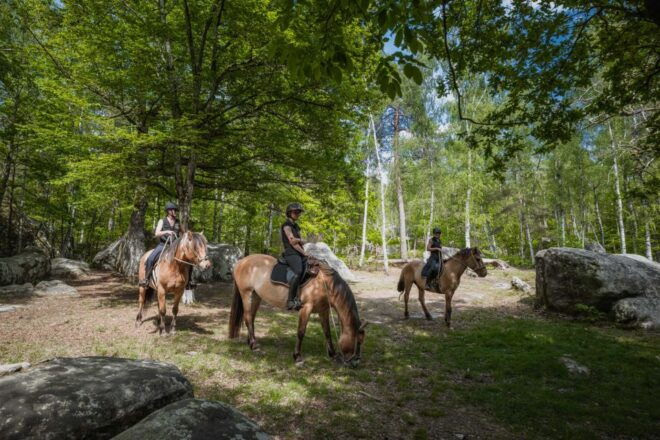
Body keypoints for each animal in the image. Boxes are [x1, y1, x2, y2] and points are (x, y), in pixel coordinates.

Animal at [228, 254, 367, 367]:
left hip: (256, 295)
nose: (356, 362)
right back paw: (254, 345)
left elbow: (327, 332)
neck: (324, 284)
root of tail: (241, 262)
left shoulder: (323, 310)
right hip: (246, 293)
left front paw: (332, 354)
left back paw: (250, 341)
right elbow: (301, 332)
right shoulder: (306, 308)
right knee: (247, 317)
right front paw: (297, 357)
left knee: (251, 318)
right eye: (356, 341)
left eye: (362, 341)